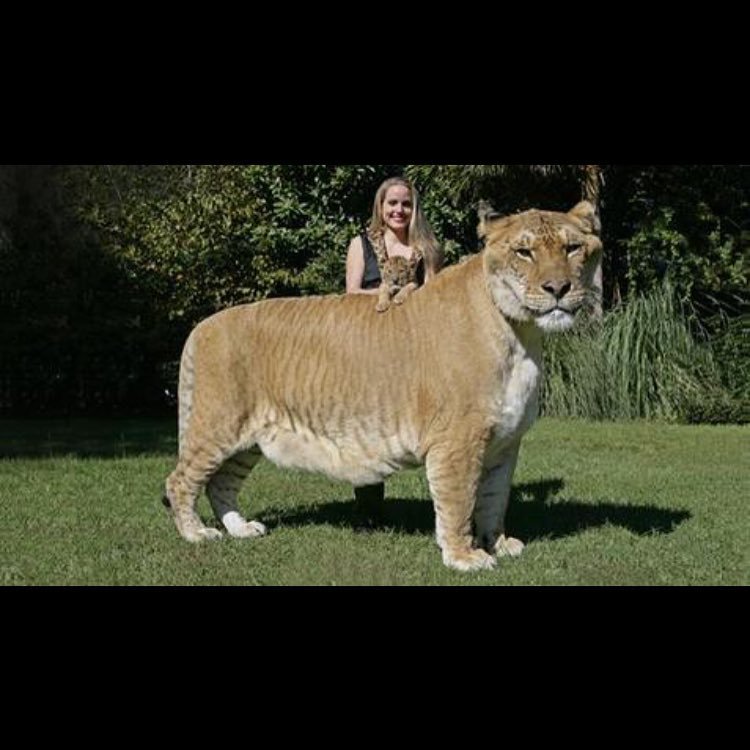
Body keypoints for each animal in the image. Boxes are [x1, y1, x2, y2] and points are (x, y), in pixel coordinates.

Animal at [163, 201, 602, 572]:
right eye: (524, 252)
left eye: (573, 248)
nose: (558, 289)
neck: (522, 334)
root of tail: (201, 325)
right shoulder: (456, 441)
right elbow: (459, 501)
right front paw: (465, 557)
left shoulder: (505, 443)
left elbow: (494, 500)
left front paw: (499, 544)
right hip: (217, 425)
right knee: (180, 480)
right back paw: (197, 534)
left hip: (248, 439)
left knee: (221, 483)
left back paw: (240, 529)